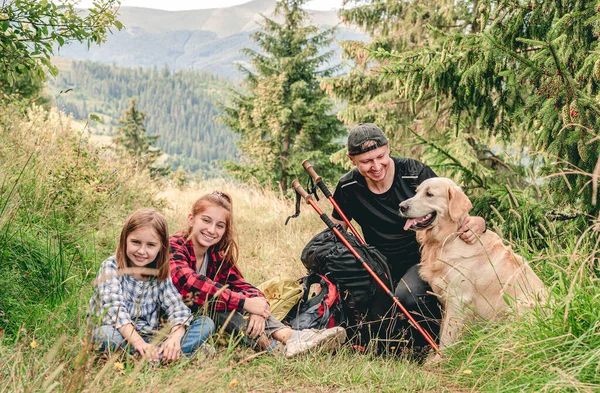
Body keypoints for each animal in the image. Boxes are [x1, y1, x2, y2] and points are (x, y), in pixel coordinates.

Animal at [400, 176, 548, 354]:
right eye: (416, 192)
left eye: (429, 194)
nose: (401, 207)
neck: (450, 237)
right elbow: (444, 331)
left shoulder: (458, 297)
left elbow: (447, 335)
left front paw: (442, 358)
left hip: (520, 305)